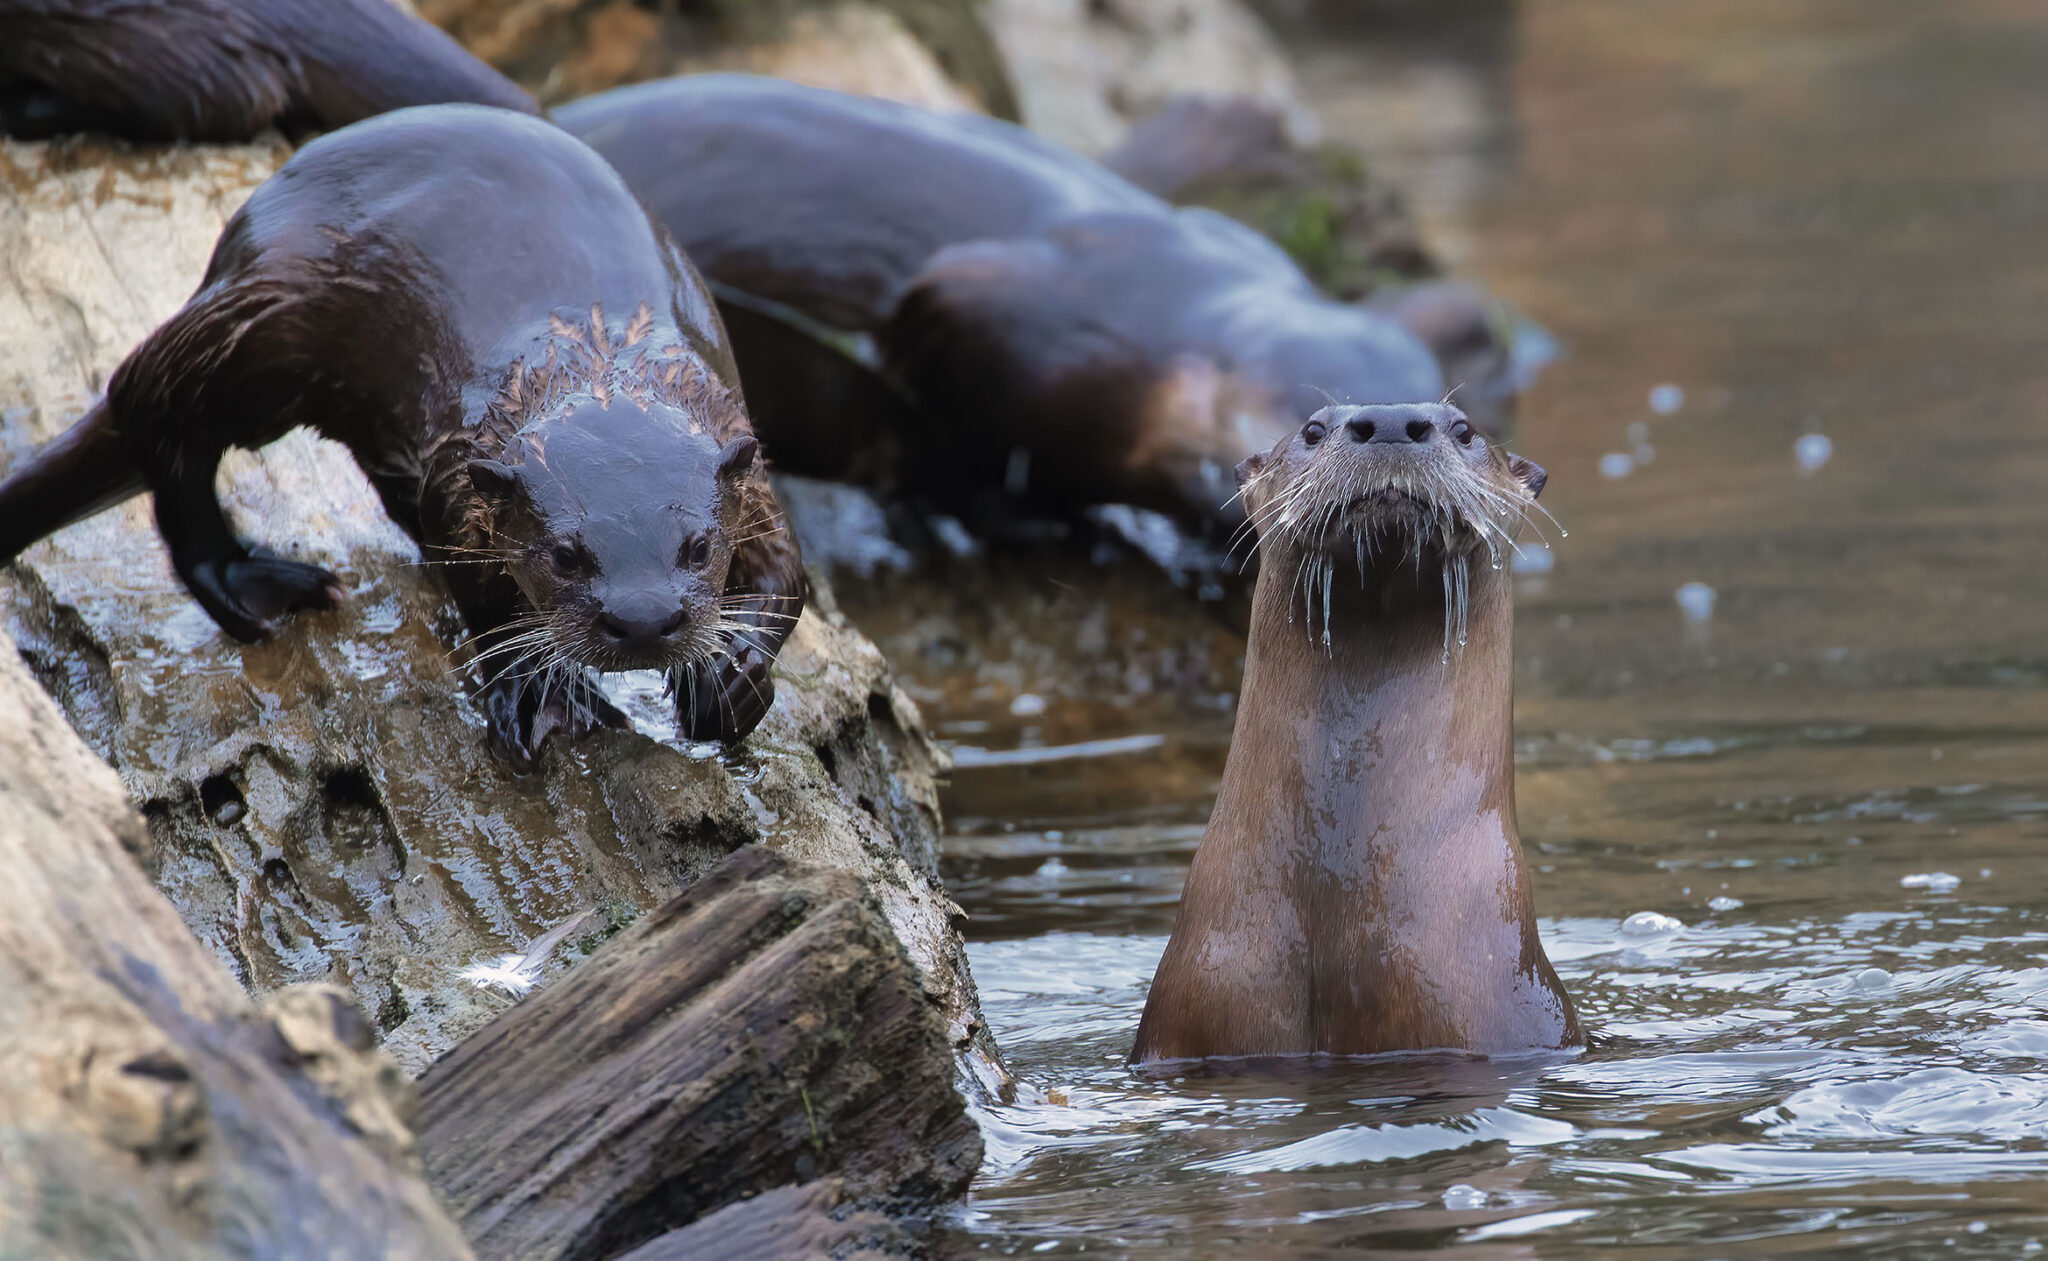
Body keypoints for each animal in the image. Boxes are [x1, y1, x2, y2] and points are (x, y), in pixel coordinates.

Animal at [0, 108, 806, 773]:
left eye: (698, 547)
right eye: (564, 555)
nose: (643, 620)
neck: (598, 351)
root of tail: (237, 241)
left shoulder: (748, 463)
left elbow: (787, 579)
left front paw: (733, 676)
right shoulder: (459, 475)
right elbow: (480, 596)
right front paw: (539, 691)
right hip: (260, 326)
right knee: (159, 422)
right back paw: (252, 582)